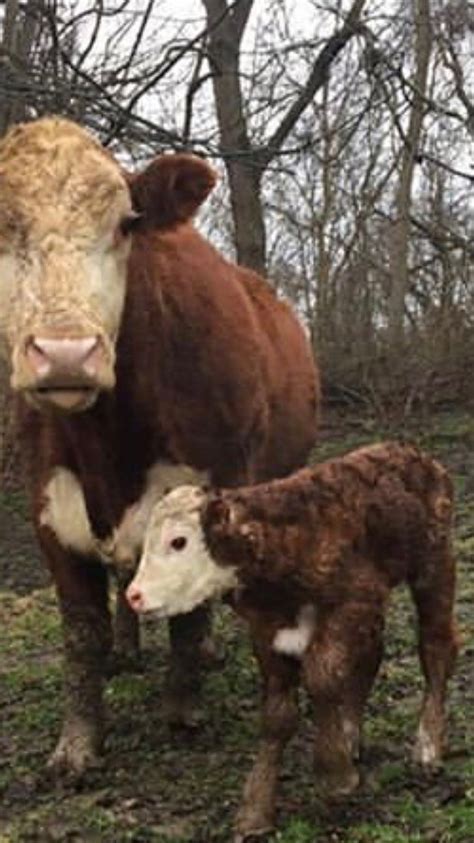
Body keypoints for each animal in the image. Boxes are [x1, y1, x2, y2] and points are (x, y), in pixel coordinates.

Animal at [0, 117, 318, 780]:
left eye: (125, 223)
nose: (65, 353)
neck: (109, 442)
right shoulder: (49, 506)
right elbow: (81, 629)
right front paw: (77, 745)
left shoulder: (212, 481)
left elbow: (190, 605)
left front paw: (182, 707)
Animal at [127, 446, 460, 840]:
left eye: (179, 541)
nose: (133, 595)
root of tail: (414, 454)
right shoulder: (267, 631)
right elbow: (277, 715)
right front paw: (255, 810)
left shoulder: (351, 602)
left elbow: (321, 678)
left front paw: (335, 775)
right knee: (371, 655)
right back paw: (351, 735)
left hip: (435, 565)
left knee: (435, 647)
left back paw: (427, 747)